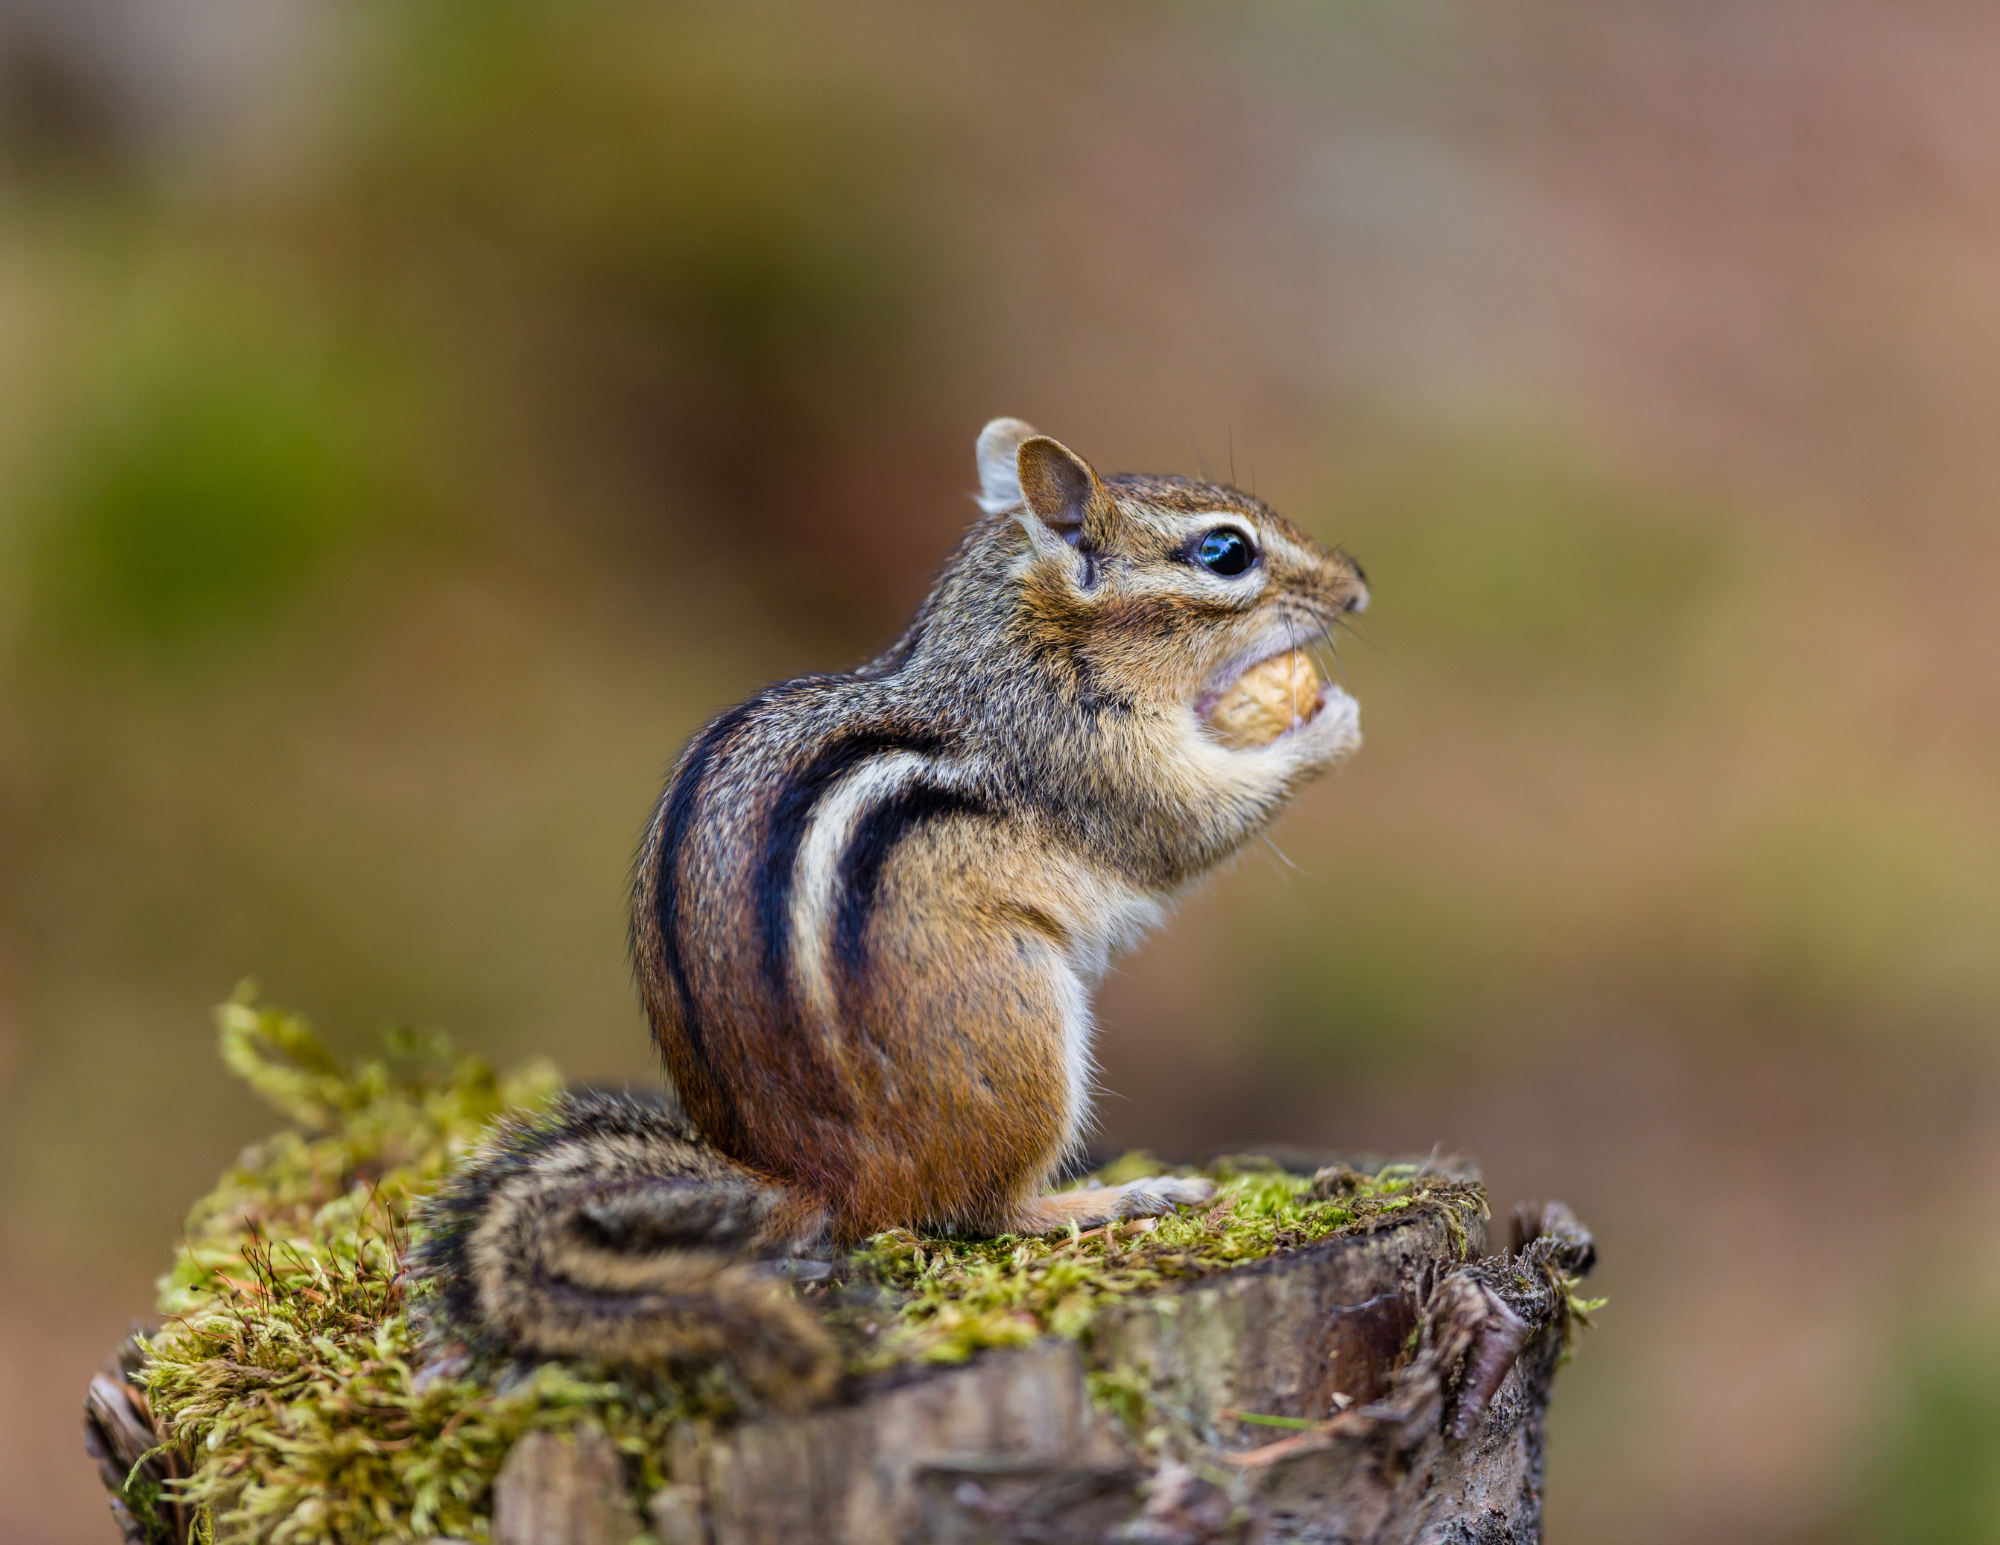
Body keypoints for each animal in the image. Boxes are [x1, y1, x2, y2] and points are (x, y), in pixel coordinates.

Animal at [412, 419, 1369, 1404]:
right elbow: (1193, 825)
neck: (1025, 647)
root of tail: (819, 1181)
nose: (1356, 585)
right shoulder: (1092, 761)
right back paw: (1119, 1197)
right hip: (1020, 1030)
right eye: (1226, 552)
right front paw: (1329, 724)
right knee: (983, 1210)